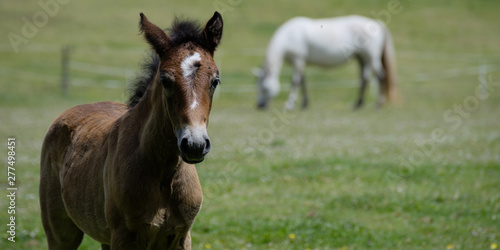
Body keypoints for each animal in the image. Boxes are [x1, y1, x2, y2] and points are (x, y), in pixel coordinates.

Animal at [40, 12, 224, 250]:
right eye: (165, 80)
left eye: (216, 81)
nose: (195, 145)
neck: (164, 173)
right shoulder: (124, 237)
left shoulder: (182, 236)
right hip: (61, 232)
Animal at [256, 14, 396, 109]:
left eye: (265, 88)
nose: (260, 105)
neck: (290, 36)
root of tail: (377, 24)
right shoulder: (301, 62)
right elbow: (303, 81)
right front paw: (305, 103)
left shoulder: (298, 59)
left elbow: (295, 82)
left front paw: (289, 105)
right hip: (362, 58)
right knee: (364, 79)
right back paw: (358, 104)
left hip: (371, 57)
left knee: (381, 76)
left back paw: (378, 104)